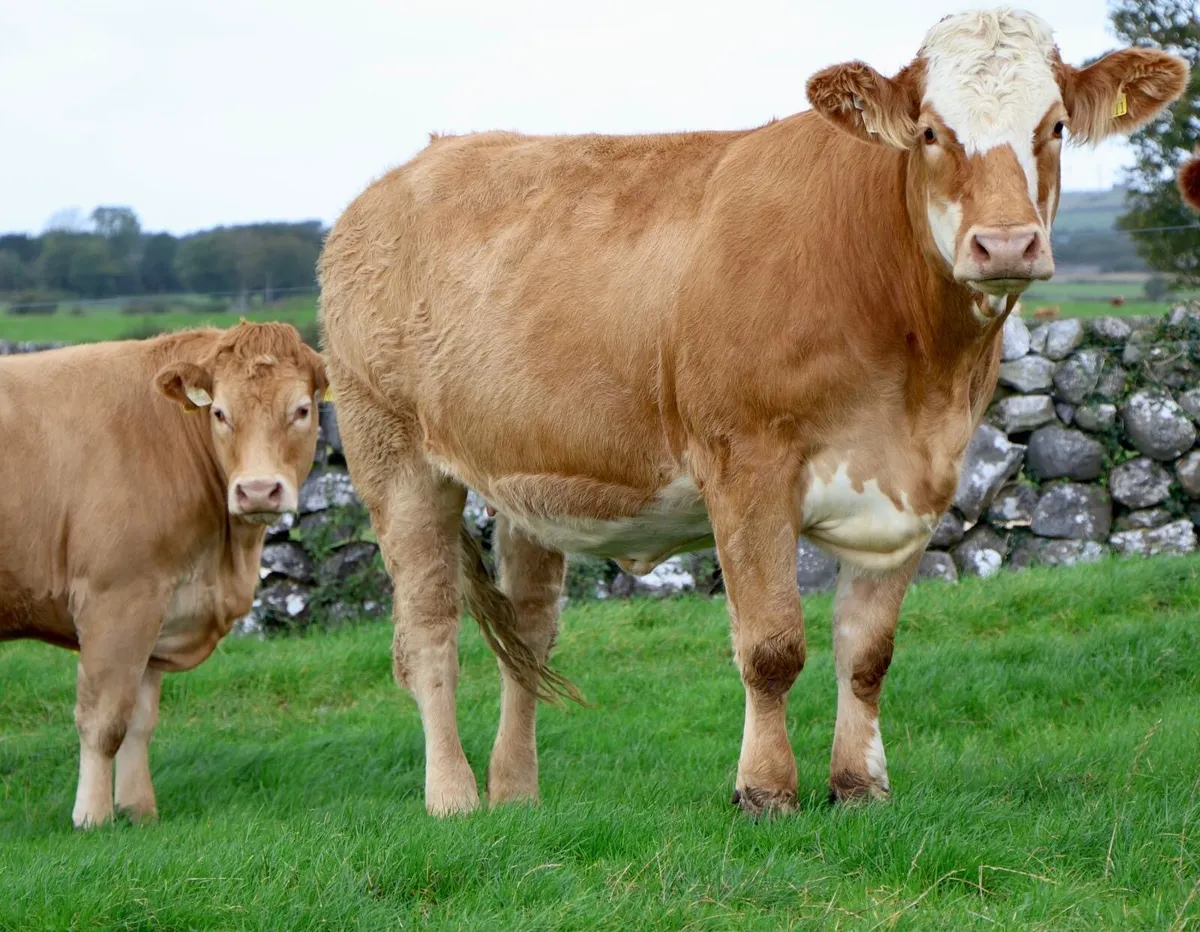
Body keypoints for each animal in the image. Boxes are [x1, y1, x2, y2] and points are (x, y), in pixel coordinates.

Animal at [0, 321, 326, 828]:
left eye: (302, 409)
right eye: (219, 412)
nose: (256, 491)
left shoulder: (158, 604)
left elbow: (139, 720)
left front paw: (138, 810)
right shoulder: (116, 599)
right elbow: (104, 720)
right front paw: (92, 817)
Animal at [318, 8, 1189, 817]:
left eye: (1055, 126)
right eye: (931, 132)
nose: (1005, 244)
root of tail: (397, 179)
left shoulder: (914, 486)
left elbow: (867, 653)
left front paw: (859, 787)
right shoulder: (747, 465)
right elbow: (771, 646)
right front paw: (765, 790)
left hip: (528, 480)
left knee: (527, 635)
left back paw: (517, 795)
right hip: (392, 455)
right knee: (429, 634)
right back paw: (454, 797)